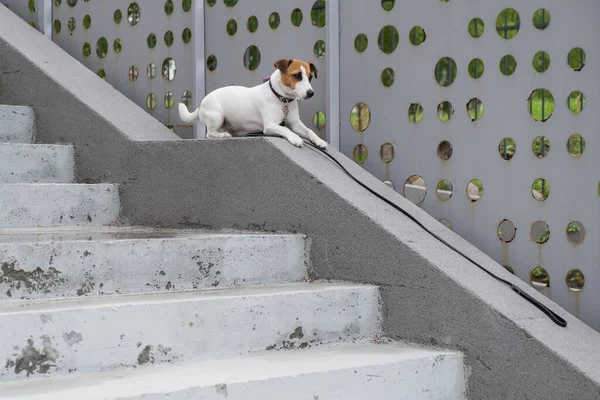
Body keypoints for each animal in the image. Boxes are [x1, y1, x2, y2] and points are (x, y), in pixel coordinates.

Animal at [178, 57, 328, 149]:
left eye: (310, 77)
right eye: (297, 75)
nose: (311, 93)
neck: (282, 99)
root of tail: (201, 103)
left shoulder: (296, 123)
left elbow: (309, 131)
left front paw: (319, 140)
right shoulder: (269, 125)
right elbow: (285, 129)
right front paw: (295, 138)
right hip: (217, 117)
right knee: (209, 134)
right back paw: (222, 135)